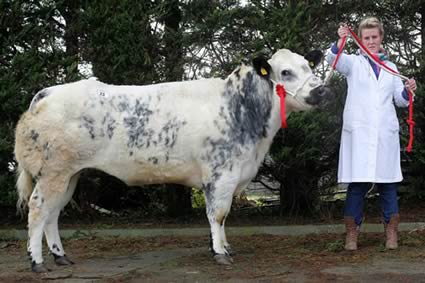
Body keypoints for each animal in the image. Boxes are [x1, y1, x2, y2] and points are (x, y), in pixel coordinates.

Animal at [14, 48, 326, 272]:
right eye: (285, 72)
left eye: (309, 67)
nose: (321, 89)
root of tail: (47, 92)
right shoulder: (221, 174)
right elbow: (218, 214)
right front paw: (220, 253)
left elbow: (223, 217)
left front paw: (225, 247)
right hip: (53, 172)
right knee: (38, 209)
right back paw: (37, 262)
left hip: (69, 175)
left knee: (53, 212)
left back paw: (60, 257)